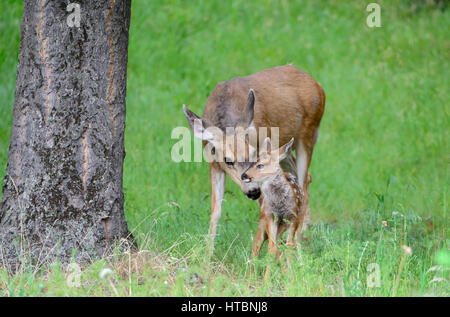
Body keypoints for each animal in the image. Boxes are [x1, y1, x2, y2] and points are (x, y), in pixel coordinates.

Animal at [183, 64, 326, 249]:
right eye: (228, 160)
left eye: (253, 154)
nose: (253, 191)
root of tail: (318, 86)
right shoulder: (214, 164)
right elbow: (216, 210)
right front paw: (207, 254)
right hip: (284, 150)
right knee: (304, 178)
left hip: (309, 133)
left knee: (302, 183)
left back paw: (297, 238)